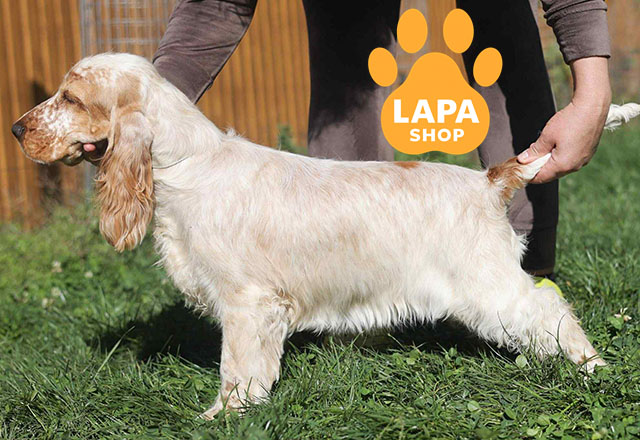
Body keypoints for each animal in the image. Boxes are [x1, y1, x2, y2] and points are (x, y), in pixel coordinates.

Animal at [12, 53, 640, 418]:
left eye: (70, 98)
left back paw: (593, 370)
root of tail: (489, 182)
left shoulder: (248, 303)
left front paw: (224, 418)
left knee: (549, 309)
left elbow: (237, 370)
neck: (186, 165)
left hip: (487, 285)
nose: (17, 129)